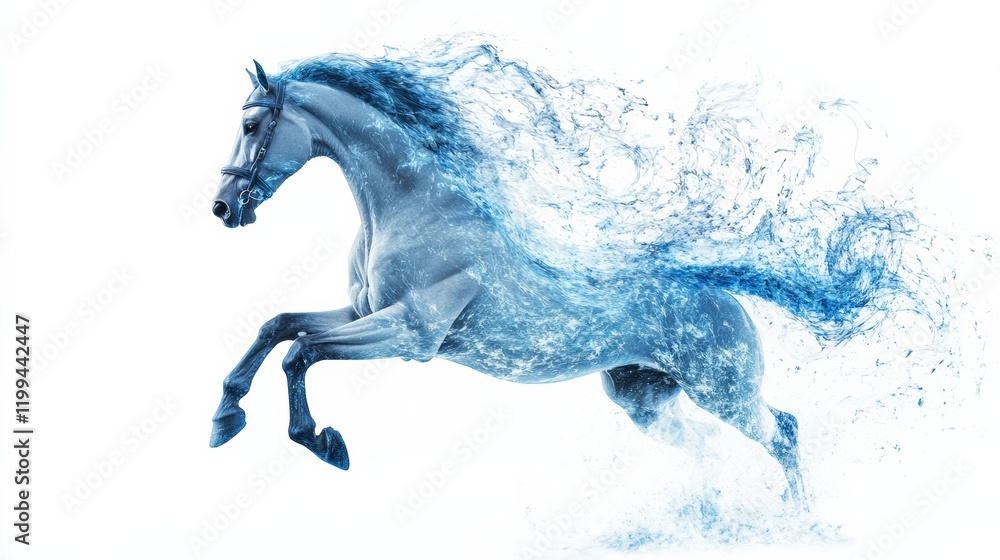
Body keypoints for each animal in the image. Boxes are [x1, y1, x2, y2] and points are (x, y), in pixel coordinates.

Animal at [209, 58, 804, 500]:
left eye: (250, 126)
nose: (223, 207)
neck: (413, 209)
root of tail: (729, 299)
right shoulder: (363, 312)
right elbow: (277, 325)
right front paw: (226, 417)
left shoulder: (411, 333)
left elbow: (301, 352)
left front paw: (323, 441)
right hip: (644, 404)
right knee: (718, 449)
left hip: (723, 393)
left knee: (783, 434)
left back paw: (798, 521)